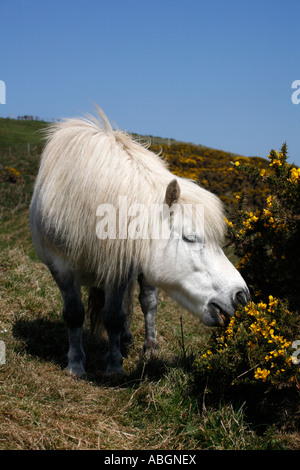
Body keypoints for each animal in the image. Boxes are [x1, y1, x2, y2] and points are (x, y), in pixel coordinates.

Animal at [30, 105, 250, 374]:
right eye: (189, 238)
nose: (241, 296)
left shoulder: (120, 268)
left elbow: (114, 316)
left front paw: (114, 366)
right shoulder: (60, 267)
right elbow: (74, 314)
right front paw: (75, 364)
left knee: (147, 303)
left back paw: (148, 346)